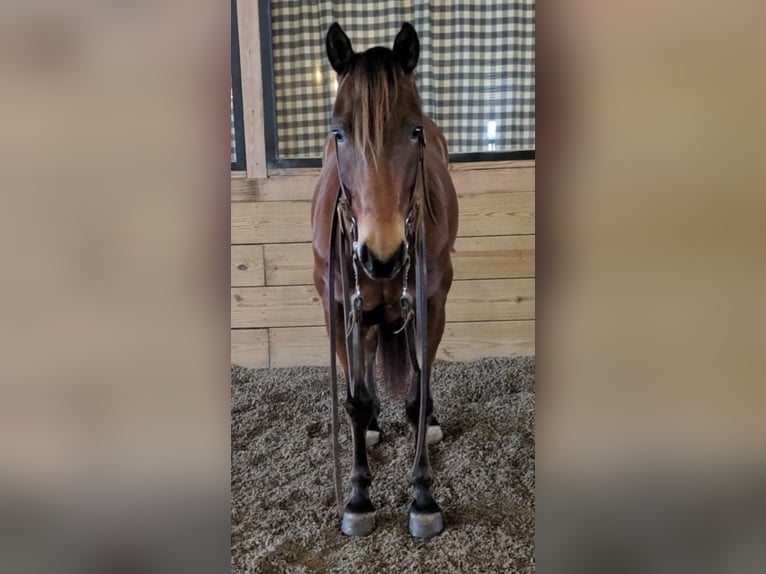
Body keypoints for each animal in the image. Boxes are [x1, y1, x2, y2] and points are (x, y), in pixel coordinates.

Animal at [310, 22, 460, 544]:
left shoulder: (430, 307)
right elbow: (355, 401)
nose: (383, 255)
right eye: (338, 132)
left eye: (414, 131)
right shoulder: (341, 311)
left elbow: (416, 396)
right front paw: (357, 498)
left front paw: (422, 498)